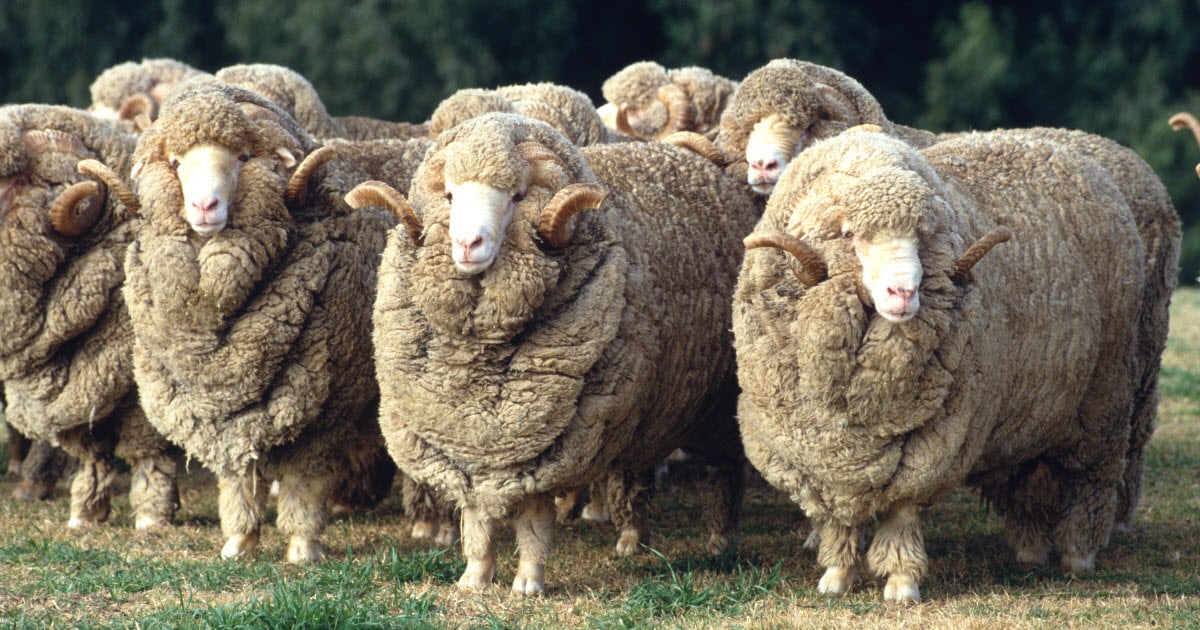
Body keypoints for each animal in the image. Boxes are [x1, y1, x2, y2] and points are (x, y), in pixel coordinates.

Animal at [0, 104, 180, 529]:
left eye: (14, 182)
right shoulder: (84, 386)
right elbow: (92, 454)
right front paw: (86, 512)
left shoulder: (140, 383)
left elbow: (147, 450)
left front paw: (152, 514)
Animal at [122, 77, 398, 562]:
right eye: (176, 162)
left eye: (243, 157)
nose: (205, 205)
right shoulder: (224, 410)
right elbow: (238, 478)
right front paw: (238, 543)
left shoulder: (327, 409)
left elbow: (304, 483)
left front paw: (303, 548)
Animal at [352, 112, 758, 595]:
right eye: (449, 195)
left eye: (517, 196)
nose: (468, 244)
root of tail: (692, 159)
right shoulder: (468, 447)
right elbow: (476, 520)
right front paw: (475, 577)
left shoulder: (546, 444)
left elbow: (533, 521)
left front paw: (528, 582)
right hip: (643, 410)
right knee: (636, 470)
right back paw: (633, 538)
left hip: (717, 408)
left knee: (726, 472)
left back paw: (721, 540)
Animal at [732, 126, 1172, 602]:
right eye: (848, 233)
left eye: (923, 238)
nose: (904, 293)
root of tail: (1071, 149)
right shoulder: (823, 455)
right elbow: (838, 519)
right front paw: (836, 574)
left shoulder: (936, 442)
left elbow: (902, 512)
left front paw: (901, 581)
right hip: (1035, 411)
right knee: (1031, 481)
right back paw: (1031, 551)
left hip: (1105, 400)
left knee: (1093, 482)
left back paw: (1079, 555)